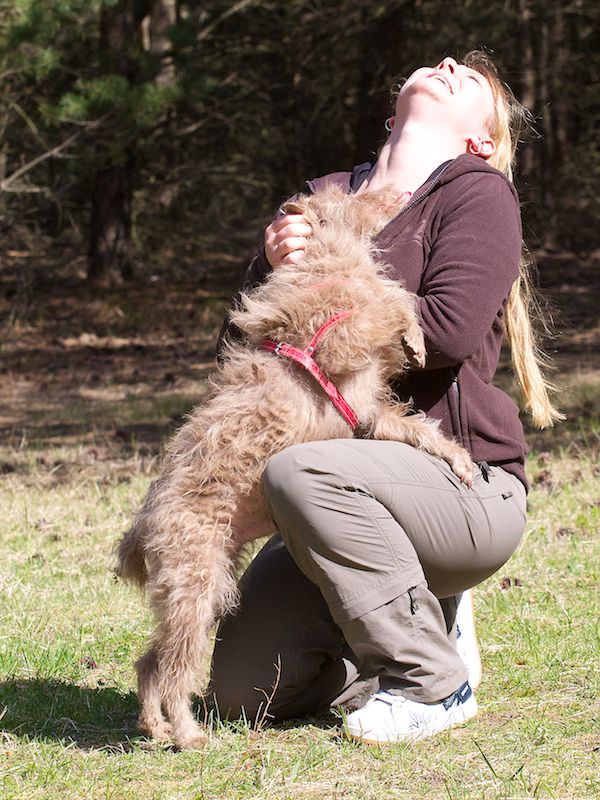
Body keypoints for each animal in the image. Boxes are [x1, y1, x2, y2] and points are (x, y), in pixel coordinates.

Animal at [115, 184, 473, 750]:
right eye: (356, 192)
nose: (399, 188)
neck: (328, 260)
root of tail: (143, 526)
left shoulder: (370, 410)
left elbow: (417, 425)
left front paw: (458, 457)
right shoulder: (345, 334)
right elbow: (390, 301)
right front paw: (414, 336)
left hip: (204, 587)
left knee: (151, 662)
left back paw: (155, 727)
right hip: (196, 584)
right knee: (172, 668)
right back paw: (189, 735)